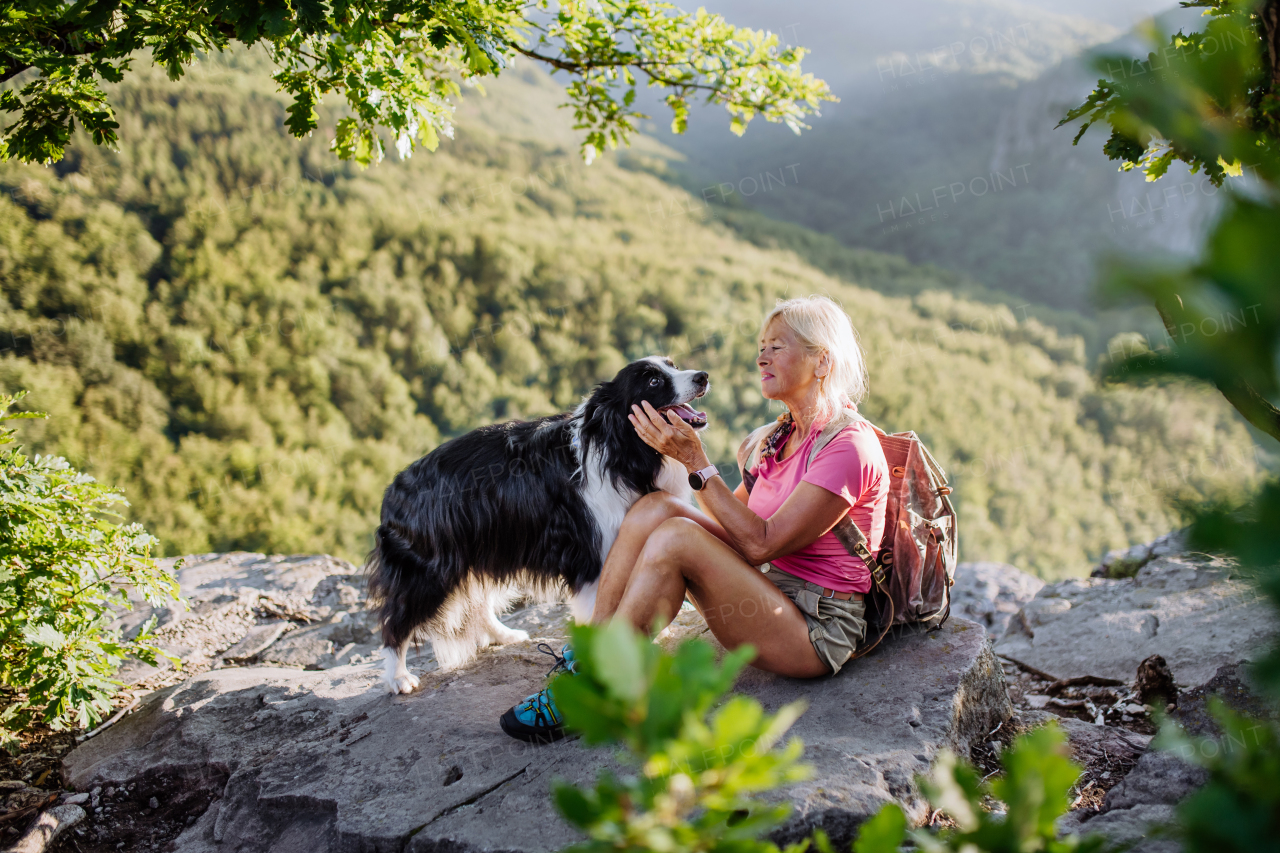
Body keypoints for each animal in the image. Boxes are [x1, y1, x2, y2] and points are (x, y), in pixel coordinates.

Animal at [368, 353, 711, 691]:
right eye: (653, 381)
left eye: (674, 366)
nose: (703, 376)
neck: (622, 446)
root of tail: (391, 491)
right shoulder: (593, 548)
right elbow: (599, 602)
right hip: (429, 568)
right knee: (397, 618)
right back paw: (399, 678)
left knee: (476, 601)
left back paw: (503, 636)